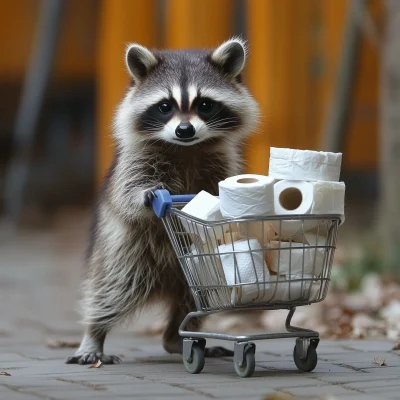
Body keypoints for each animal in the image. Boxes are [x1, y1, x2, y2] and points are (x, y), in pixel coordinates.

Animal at [65, 38, 260, 366]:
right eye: (165, 106)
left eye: (205, 105)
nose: (184, 130)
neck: (187, 147)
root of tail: (166, 282)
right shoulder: (136, 160)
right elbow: (129, 192)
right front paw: (144, 196)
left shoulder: (222, 160)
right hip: (125, 251)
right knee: (111, 289)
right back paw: (94, 334)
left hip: (200, 275)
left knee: (195, 303)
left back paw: (175, 339)